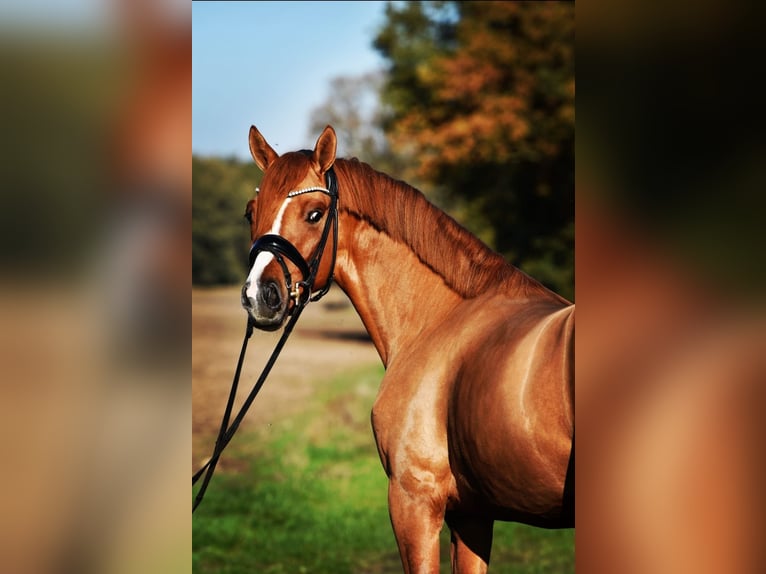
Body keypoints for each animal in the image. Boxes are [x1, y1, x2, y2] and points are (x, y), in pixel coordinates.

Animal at [243, 126, 572, 574]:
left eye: (314, 213)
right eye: (250, 212)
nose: (260, 295)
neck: (439, 320)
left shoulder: (413, 502)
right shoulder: (472, 515)